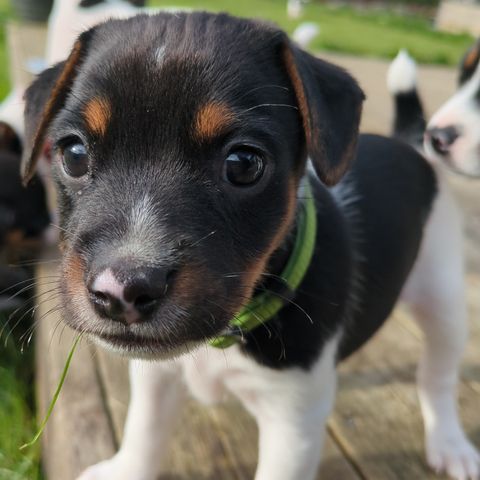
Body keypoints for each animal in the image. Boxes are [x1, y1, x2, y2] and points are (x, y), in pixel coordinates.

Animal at [23, 12, 480, 480]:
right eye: (74, 153)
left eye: (243, 164)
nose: (121, 292)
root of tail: (407, 143)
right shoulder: (156, 376)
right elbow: (144, 428)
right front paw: (128, 468)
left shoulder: (292, 421)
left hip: (443, 298)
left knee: (437, 377)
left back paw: (449, 443)